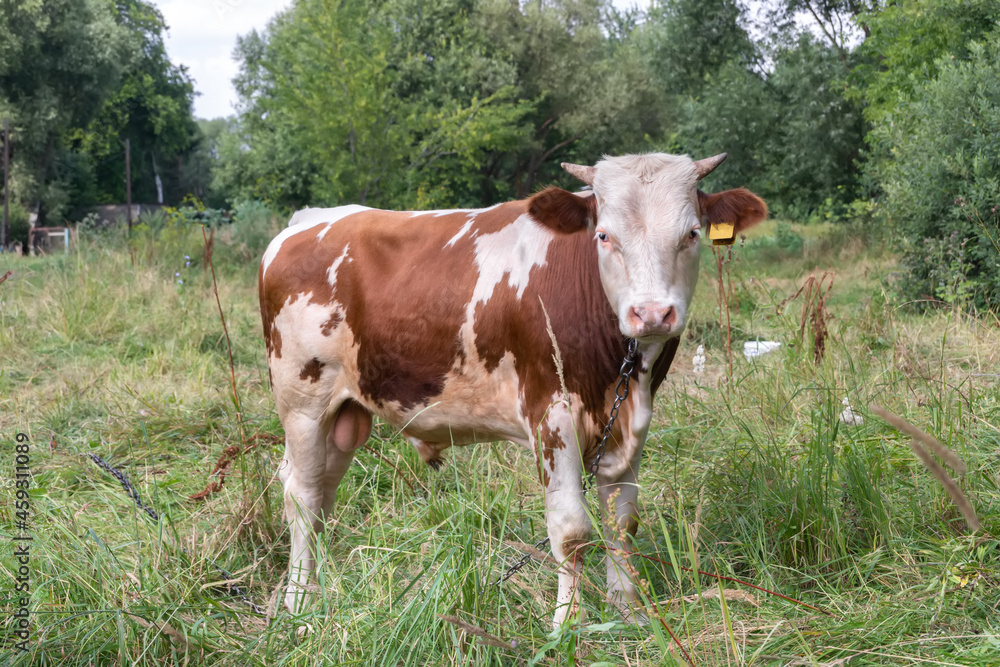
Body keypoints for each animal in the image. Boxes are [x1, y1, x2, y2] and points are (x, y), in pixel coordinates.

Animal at [256, 154, 764, 628]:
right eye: (604, 236)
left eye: (692, 233)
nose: (653, 314)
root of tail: (310, 220)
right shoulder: (552, 415)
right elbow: (572, 531)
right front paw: (567, 626)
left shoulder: (630, 422)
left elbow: (623, 523)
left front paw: (628, 613)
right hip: (303, 402)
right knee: (302, 494)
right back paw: (298, 602)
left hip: (345, 413)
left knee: (323, 493)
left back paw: (321, 589)